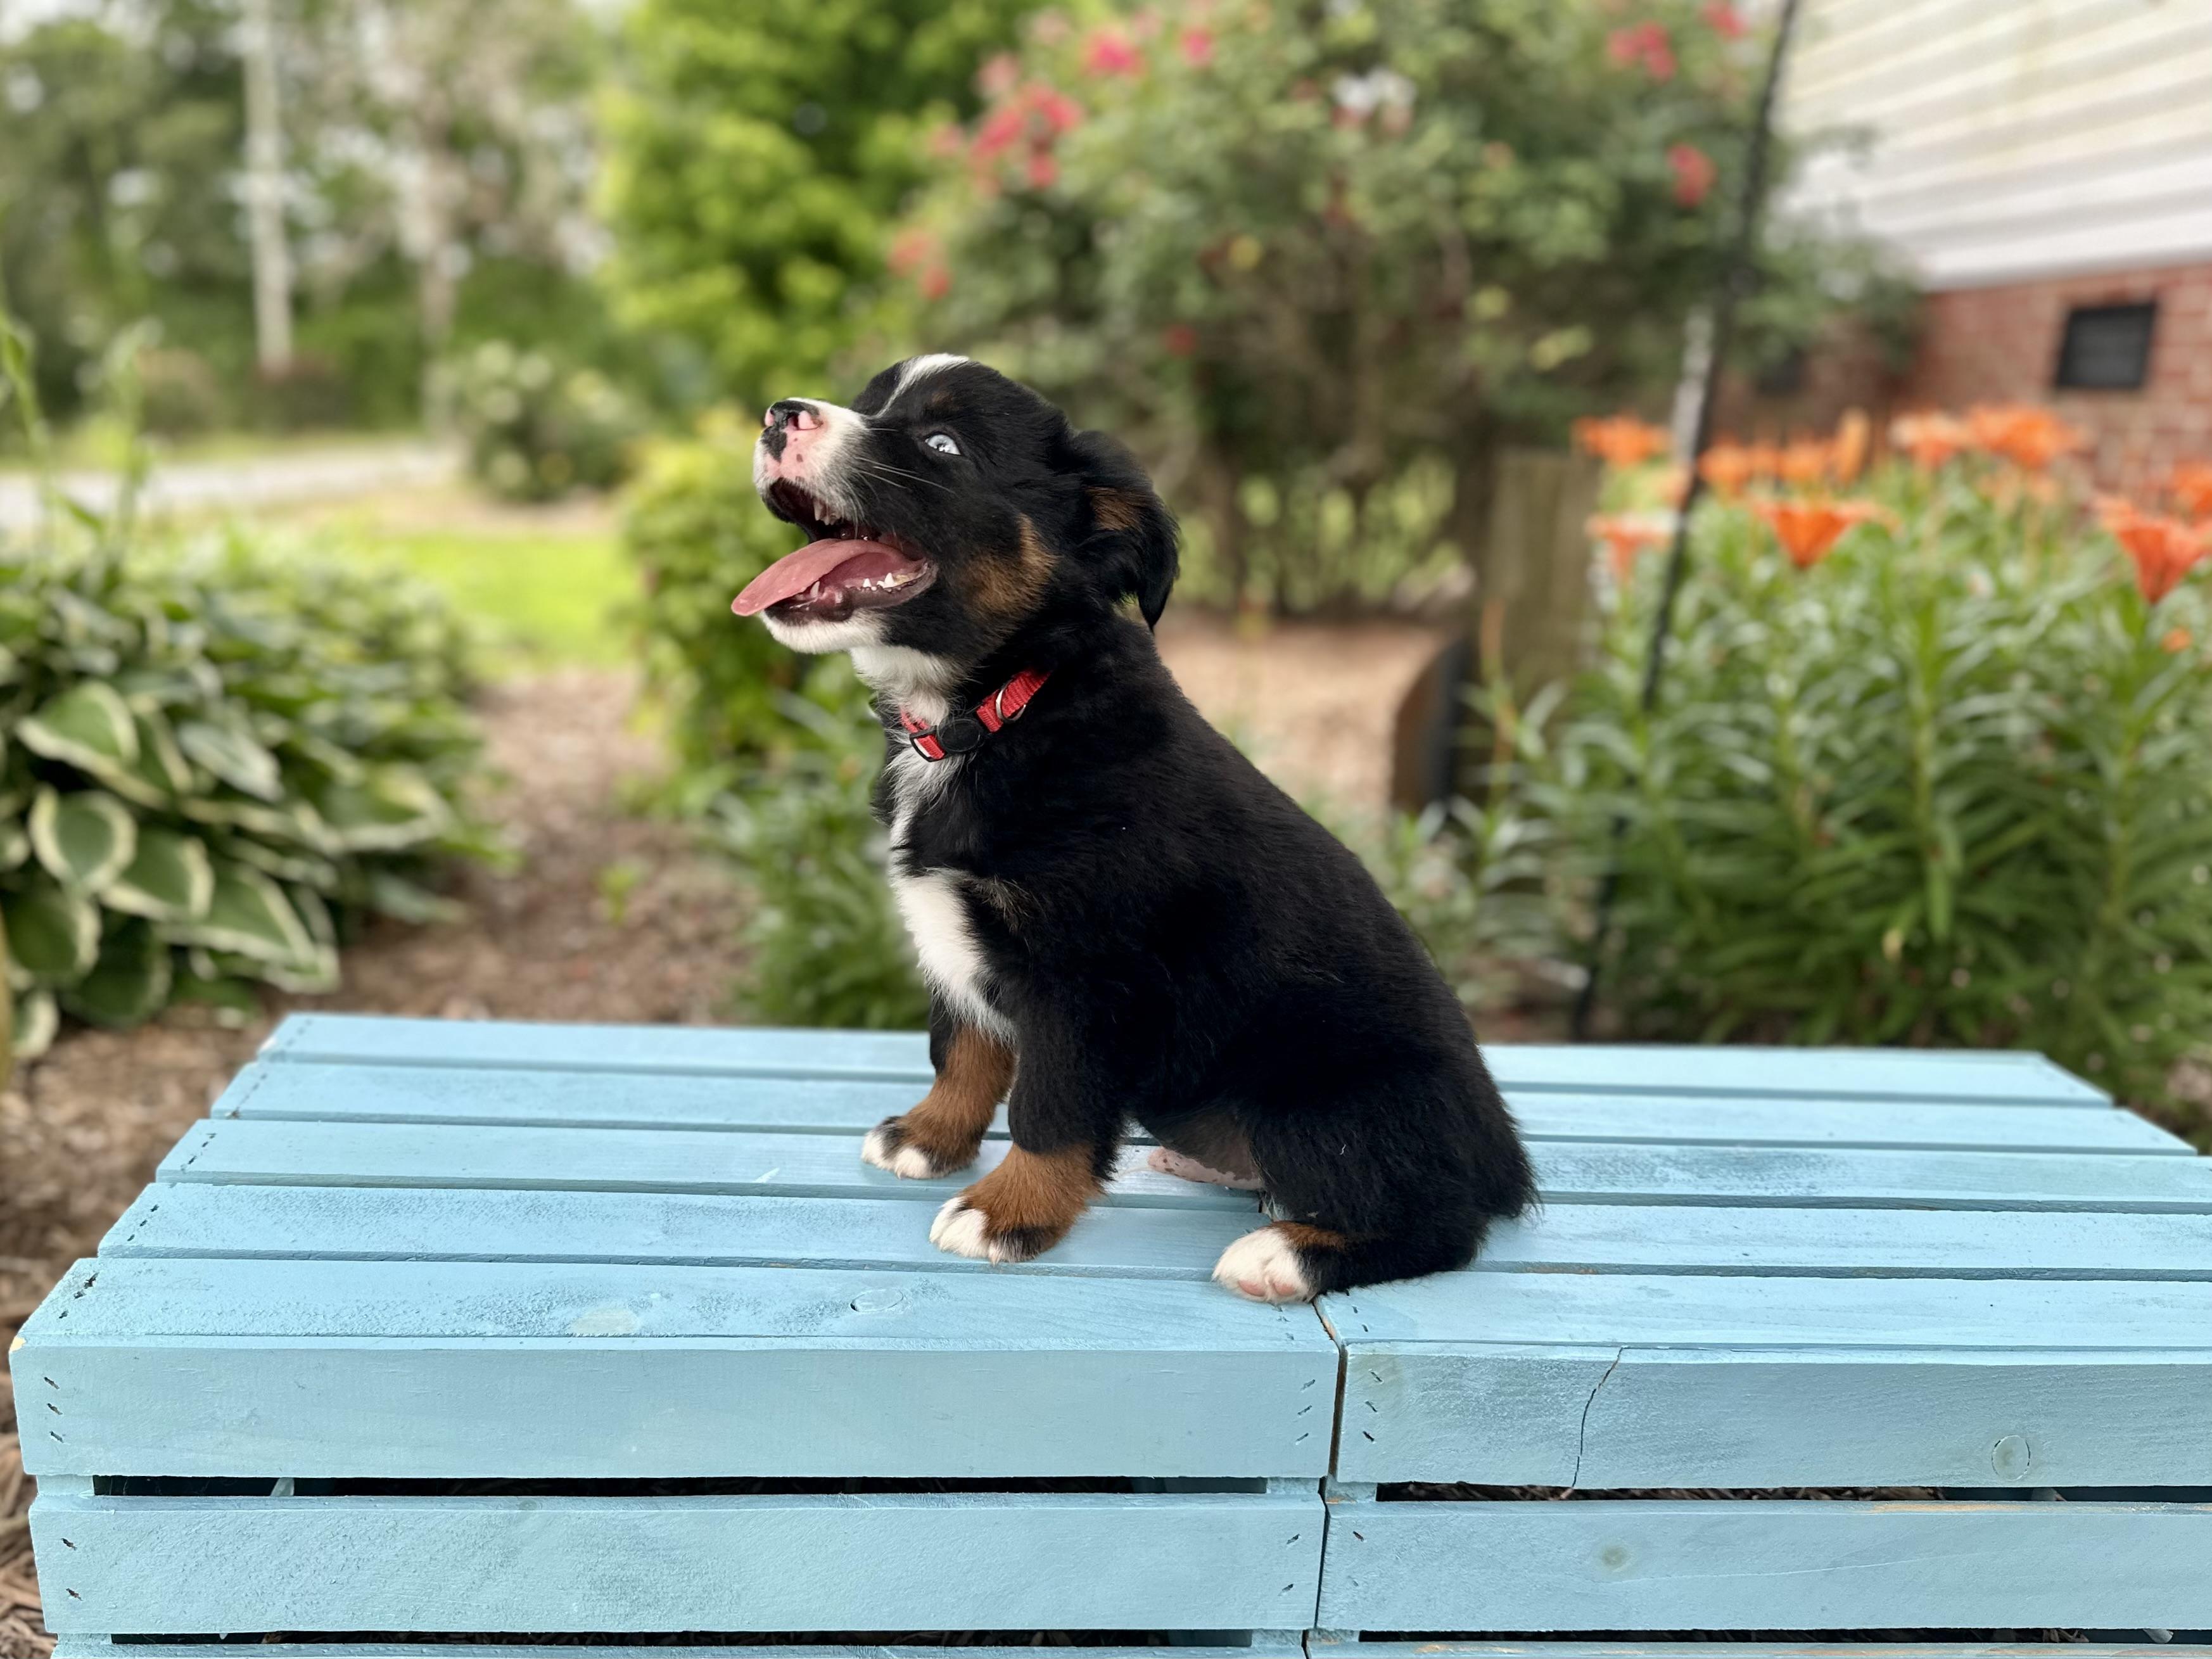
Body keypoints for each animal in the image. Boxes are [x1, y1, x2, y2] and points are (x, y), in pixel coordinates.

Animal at [734, 355, 1536, 1301]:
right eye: (866, 402)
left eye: (942, 443)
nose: (779, 414)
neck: (996, 711)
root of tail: (1505, 1163)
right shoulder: (965, 951)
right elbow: (962, 1048)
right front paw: (929, 1139)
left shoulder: (1086, 976)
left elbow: (1049, 1105)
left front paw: (1007, 1213)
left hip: (1330, 1105)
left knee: (1439, 1222)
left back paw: (1285, 1252)